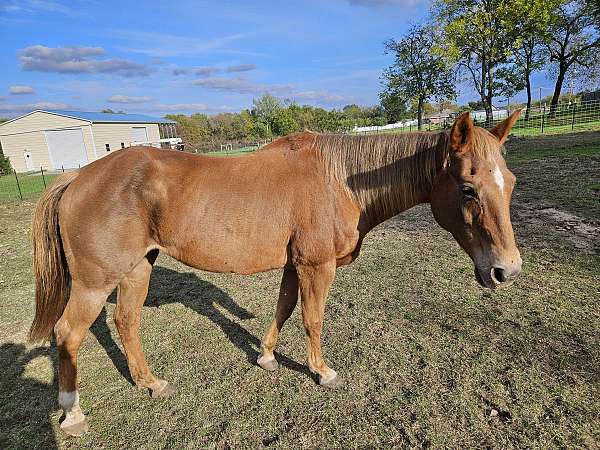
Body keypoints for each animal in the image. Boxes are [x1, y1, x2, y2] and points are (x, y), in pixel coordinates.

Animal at [30, 110, 524, 436]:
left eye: (511, 182)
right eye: (468, 188)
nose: (506, 270)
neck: (340, 180)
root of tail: (76, 178)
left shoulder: (294, 265)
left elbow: (284, 309)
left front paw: (266, 356)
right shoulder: (315, 266)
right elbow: (312, 318)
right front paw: (321, 372)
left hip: (137, 270)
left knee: (126, 322)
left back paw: (150, 383)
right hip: (95, 283)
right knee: (68, 334)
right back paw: (72, 414)